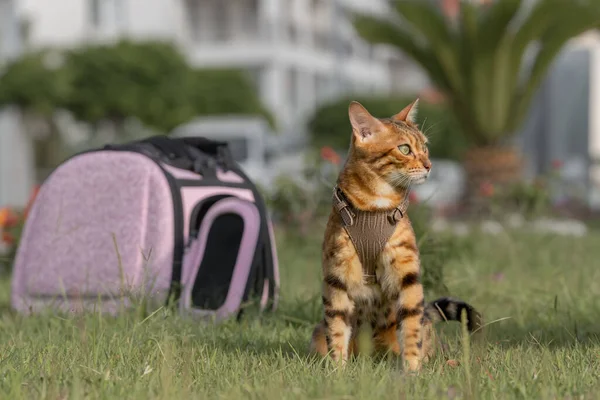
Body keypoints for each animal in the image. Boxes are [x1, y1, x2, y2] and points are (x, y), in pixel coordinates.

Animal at [310, 100, 482, 372]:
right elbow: (336, 328)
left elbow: (411, 325)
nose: (429, 165)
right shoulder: (336, 275)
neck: (375, 206)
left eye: (424, 147)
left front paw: (411, 370)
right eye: (404, 149)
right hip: (317, 334)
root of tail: (370, 356)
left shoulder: (406, 273)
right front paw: (338, 372)